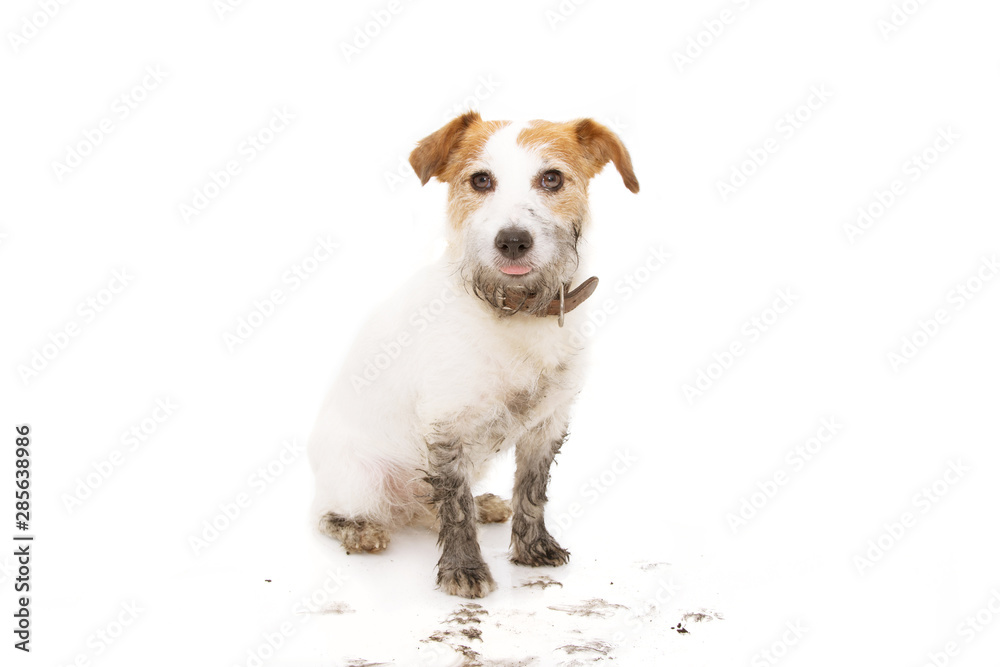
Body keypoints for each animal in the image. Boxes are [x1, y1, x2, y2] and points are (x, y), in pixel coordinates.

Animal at [308, 111, 640, 600]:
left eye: (552, 178)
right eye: (481, 180)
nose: (513, 241)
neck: (516, 311)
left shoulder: (548, 425)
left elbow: (531, 491)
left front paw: (533, 548)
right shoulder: (447, 429)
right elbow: (454, 505)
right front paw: (463, 569)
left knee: (430, 507)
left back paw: (483, 505)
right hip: (360, 481)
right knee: (330, 515)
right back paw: (359, 529)